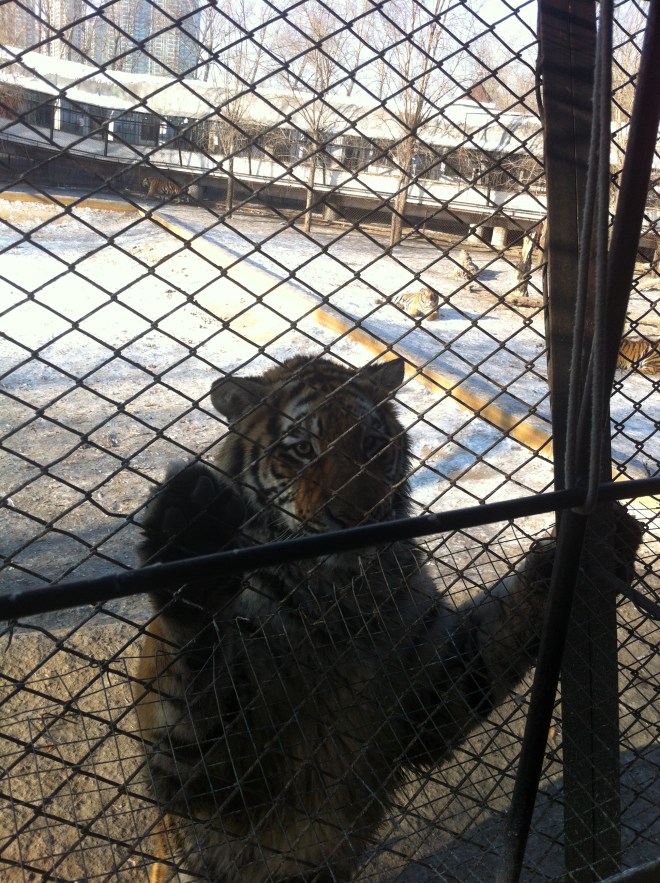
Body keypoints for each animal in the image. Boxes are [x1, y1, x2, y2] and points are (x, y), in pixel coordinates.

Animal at [133, 354, 641, 883]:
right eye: (302, 450)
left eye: (371, 445)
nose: (357, 518)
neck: (341, 598)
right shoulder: (211, 778)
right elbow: (186, 682)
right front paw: (192, 536)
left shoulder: (428, 702)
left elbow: (494, 635)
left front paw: (595, 542)